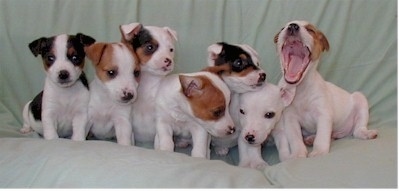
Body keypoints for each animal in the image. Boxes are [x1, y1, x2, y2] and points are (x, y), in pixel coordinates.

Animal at [276, 20, 378, 159]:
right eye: (282, 28)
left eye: (310, 30)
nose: (292, 26)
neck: (300, 88)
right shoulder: (291, 120)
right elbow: (296, 140)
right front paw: (298, 154)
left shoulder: (323, 115)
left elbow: (321, 137)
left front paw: (319, 152)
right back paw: (311, 138)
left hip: (360, 100)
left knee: (357, 130)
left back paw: (366, 133)